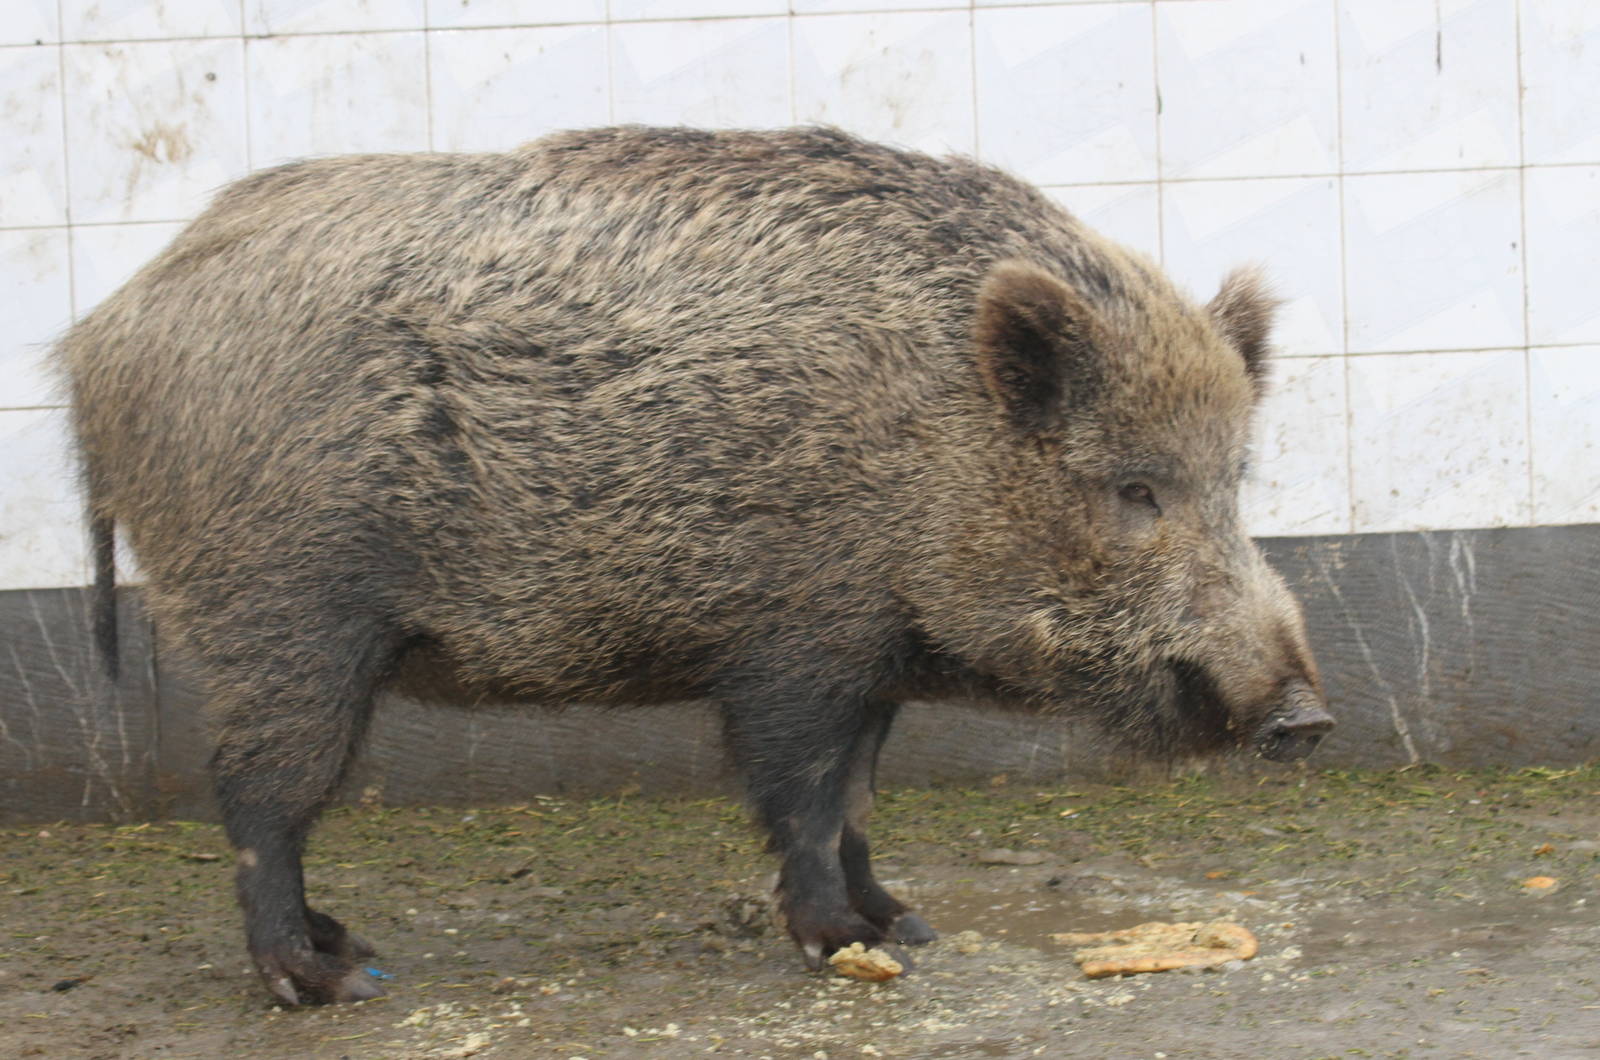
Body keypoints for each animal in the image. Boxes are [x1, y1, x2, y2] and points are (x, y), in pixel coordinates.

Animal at [58, 125, 1332, 1006]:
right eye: (1134, 489)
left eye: (1234, 479)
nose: (1307, 717)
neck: (925, 437)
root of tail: (101, 337)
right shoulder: (795, 644)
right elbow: (801, 797)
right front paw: (846, 945)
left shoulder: (869, 658)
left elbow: (858, 799)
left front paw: (903, 926)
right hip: (283, 614)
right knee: (260, 797)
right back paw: (332, 982)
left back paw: (345, 942)